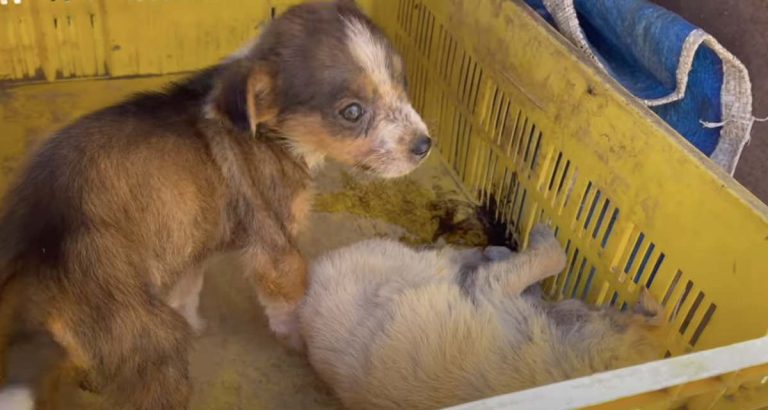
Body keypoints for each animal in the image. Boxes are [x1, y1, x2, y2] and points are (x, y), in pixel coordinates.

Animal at [0, 1, 428, 408]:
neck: (270, 132)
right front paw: (305, 347)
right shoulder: (276, 247)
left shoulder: (191, 240)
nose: (425, 146)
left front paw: (198, 325)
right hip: (151, 342)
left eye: (404, 82)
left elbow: (188, 290)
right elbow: (292, 308)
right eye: (351, 112)